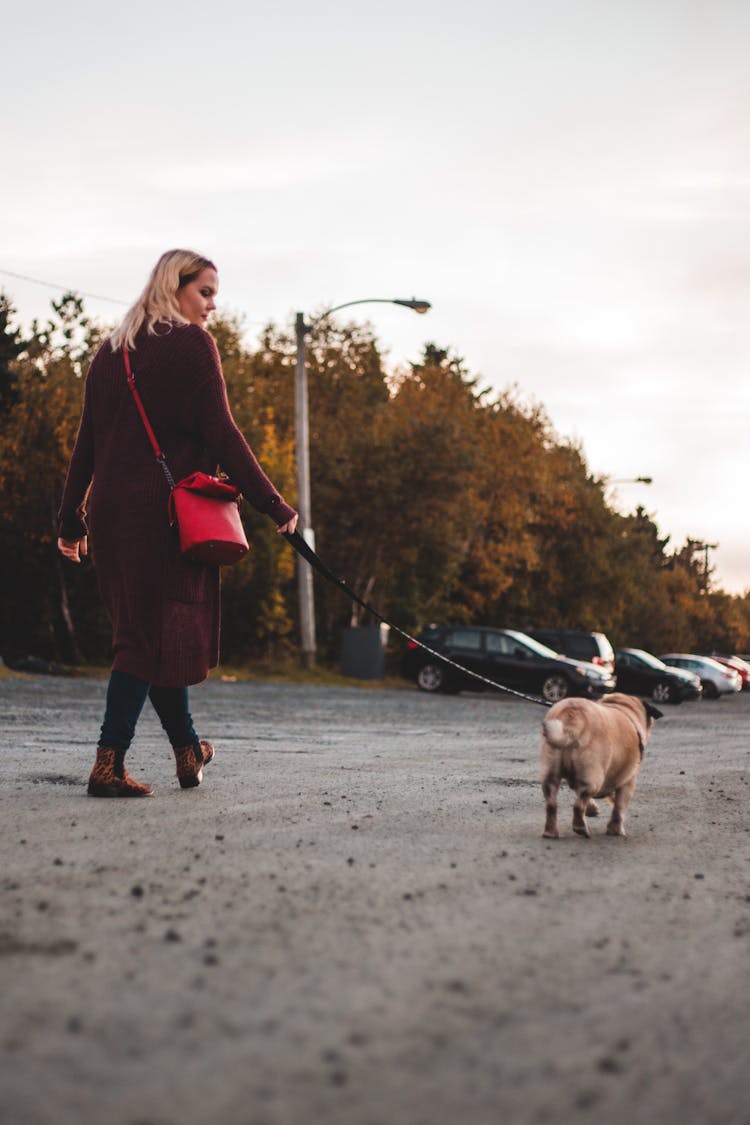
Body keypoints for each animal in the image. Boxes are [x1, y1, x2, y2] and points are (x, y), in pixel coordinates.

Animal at [539, 688, 661, 841]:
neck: (622, 707)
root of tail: (572, 715)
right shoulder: (628, 782)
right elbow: (619, 809)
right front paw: (616, 830)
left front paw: (592, 809)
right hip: (594, 777)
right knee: (579, 805)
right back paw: (581, 828)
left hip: (551, 774)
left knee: (552, 804)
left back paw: (551, 832)